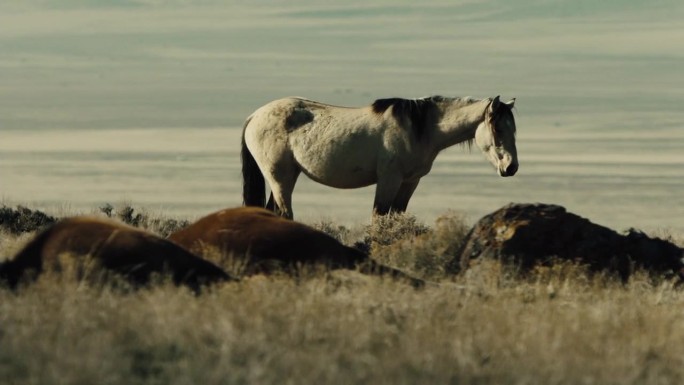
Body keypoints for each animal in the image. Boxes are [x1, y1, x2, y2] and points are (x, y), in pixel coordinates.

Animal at [240, 94, 520, 218]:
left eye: (513, 127)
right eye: (497, 127)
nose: (511, 167)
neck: (419, 127)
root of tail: (253, 116)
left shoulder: (410, 181)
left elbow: (396, 216)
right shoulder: (389, 179)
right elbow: (379, 216)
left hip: (287, 175)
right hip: (280, 177)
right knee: (284, 212)